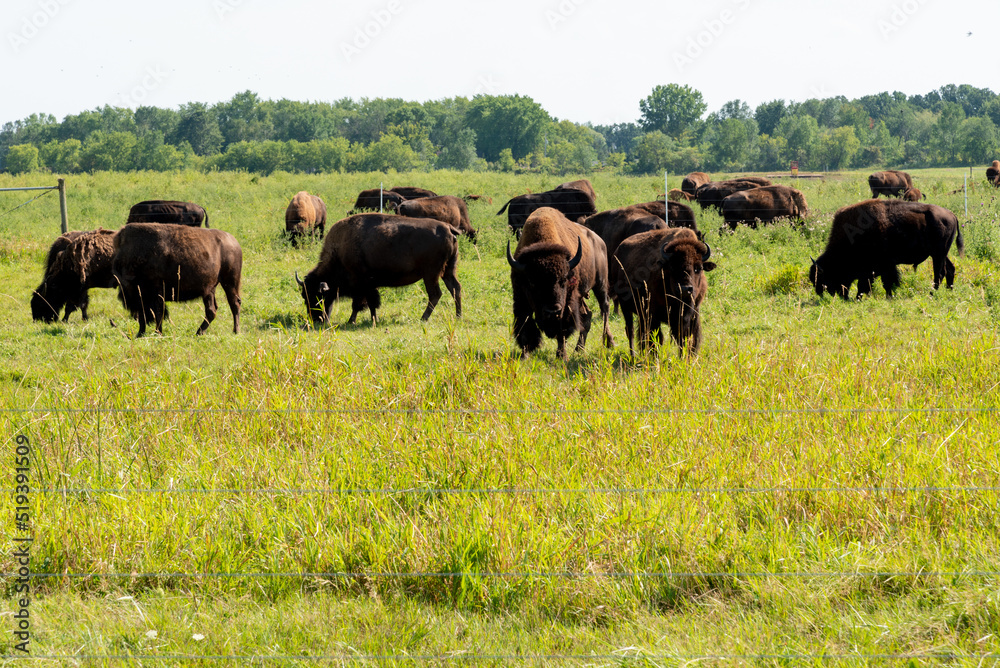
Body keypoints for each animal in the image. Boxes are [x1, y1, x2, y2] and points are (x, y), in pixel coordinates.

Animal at [112, 223, 243, 336]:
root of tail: (234, 242)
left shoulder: (155, 293)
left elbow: (158, 313)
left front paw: (157, 333)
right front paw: (142, 334)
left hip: (229, 283)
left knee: (232, 304)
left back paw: (234, 331)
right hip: (212, 289)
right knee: (214, 309)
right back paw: (201, 332)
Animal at [504, 207, 612, 358]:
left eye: (563, 280)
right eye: (532, 282)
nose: (553, 311)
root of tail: (599, 241)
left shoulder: (567, 304)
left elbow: (562, 330)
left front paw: (562, 356)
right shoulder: (520, 297)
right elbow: (524, 324)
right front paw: (525, 354)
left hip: (600, 284)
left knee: (605, 308)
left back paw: (608, 342)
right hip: (581, 295)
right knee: (587, 314)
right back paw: (579, 349)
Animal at [604, 227, 716, 358]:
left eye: (698, 268)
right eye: (672, 267)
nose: (684, 289)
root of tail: (617, 252)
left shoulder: (692, 315)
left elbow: (688, 339)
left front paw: (686, 358)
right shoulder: (654, 315)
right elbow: (657, 339)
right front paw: (655, 359)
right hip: (625, 306)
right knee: (630, 331)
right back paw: (633, 356)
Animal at [808, 200, 964, 298]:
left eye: (824, 277)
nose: (820, 293)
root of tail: (952, 215)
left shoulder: (883, 266)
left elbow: (882, 282)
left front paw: (885, 297)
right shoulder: (876, 268)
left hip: (938, 254)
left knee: (939, 273)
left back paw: (932, 294)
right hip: (941, 253)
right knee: (950, 269)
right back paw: (948, 291)